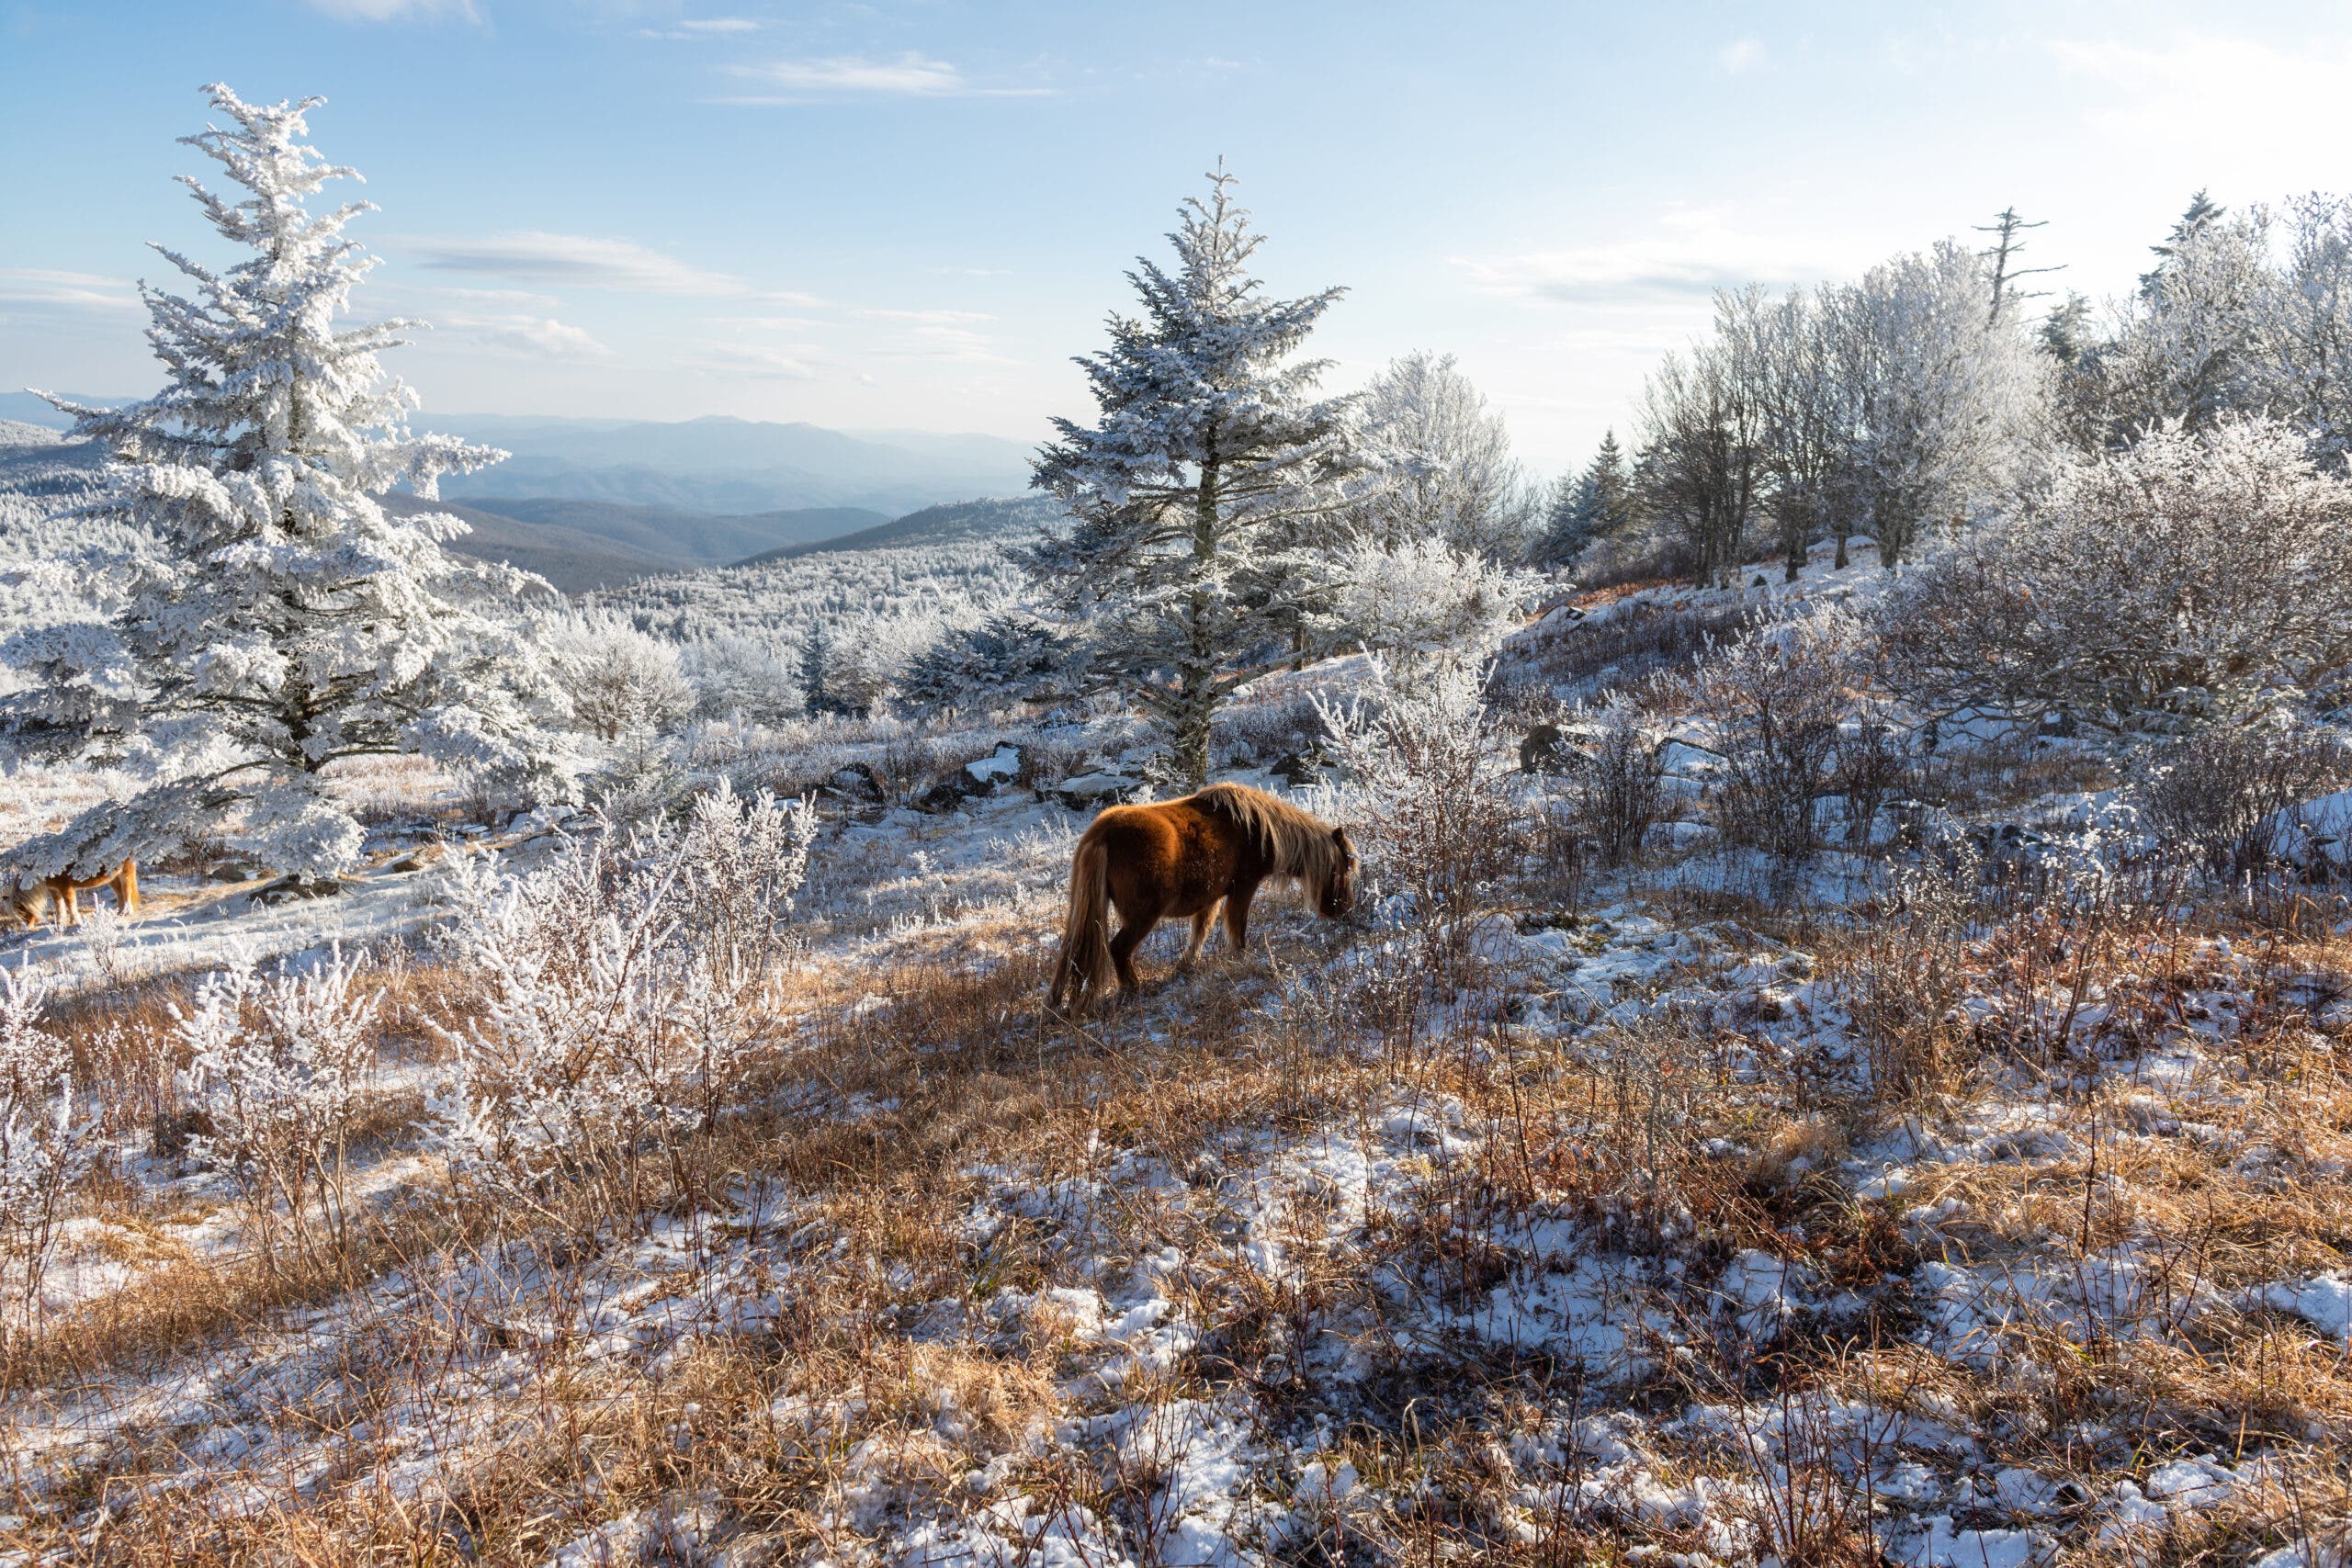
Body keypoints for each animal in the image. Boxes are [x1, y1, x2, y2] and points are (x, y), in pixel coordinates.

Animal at [8, 860, 140, 931]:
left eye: (23, 910)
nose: (27, 927)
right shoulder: (54, 890)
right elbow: (60, 907)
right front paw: (61, 923)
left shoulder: (66, 888)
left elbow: (70, 905)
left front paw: (76, 922)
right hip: (113, 876)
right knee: (119, 893)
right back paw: (119, 912)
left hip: (125, 871)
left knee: (126, 890)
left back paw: (127, 911)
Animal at [1049, 783, 1357, 1014]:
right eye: (1344, 867)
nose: (1344, 910)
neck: (1258, 830)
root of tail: (1102, 834)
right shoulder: (1243, 888)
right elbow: (1237, 927)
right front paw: (1239, 959)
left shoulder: (1210, 897)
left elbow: (1201, 930)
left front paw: (1188, 965)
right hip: (1142, 916)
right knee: (1119, 949)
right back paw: (1133, 988)